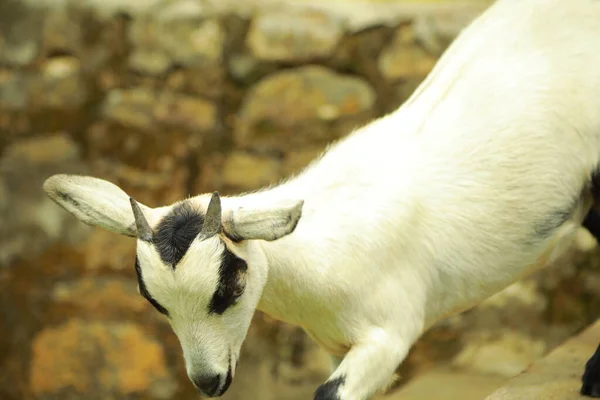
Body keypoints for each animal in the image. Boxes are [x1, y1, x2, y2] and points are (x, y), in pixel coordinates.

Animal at [42, 0, 600, 398]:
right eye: (153, 303)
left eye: (230, 288)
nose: (208, 382)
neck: (322, 248)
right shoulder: (334, 343)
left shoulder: (390, 331)